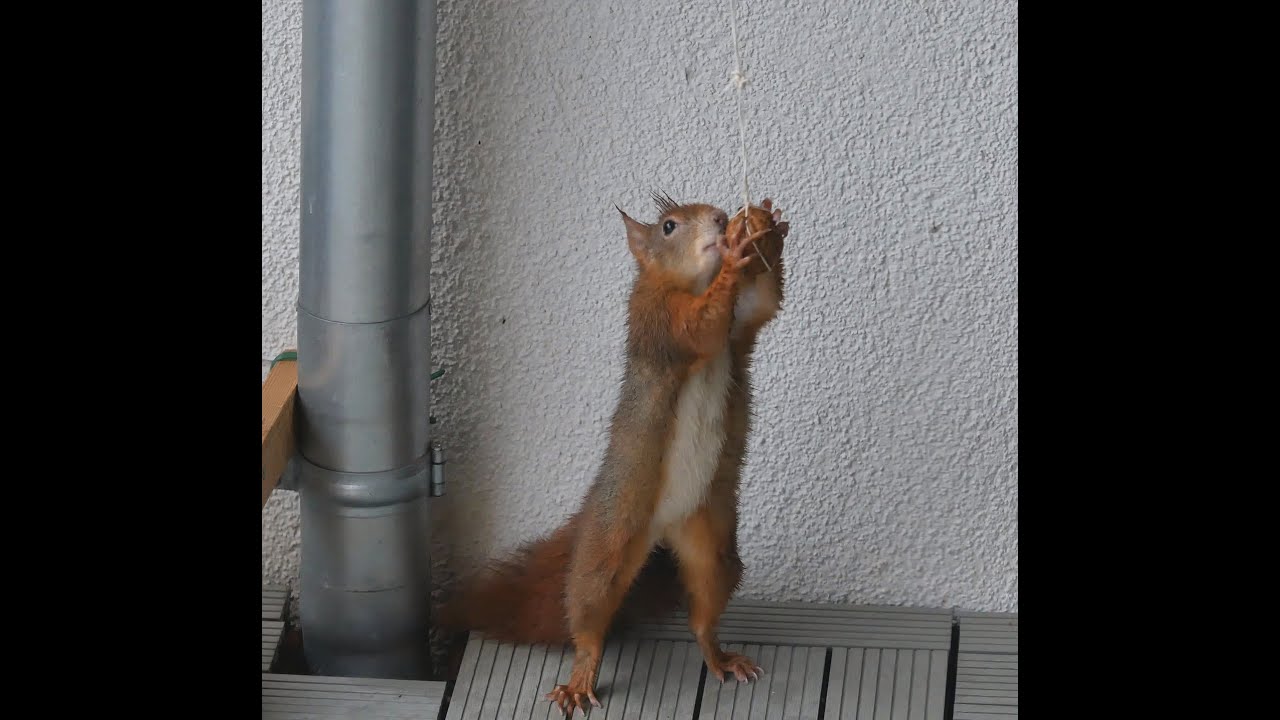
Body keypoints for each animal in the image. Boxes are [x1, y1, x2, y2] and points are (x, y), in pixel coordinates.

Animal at [440, 193, 789, 716]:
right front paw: (733, 256)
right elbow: (698, 328)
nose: (720, 219)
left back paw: (720, 657)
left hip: (711, 545)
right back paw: (581, 677)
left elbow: (762, 302)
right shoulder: (657, 320)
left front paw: (766, 226)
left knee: (703, 615)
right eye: (669, 227)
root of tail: (663, 529)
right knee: (588, 619)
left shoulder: (741, 325)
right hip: (607, 547)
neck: (690, 281)